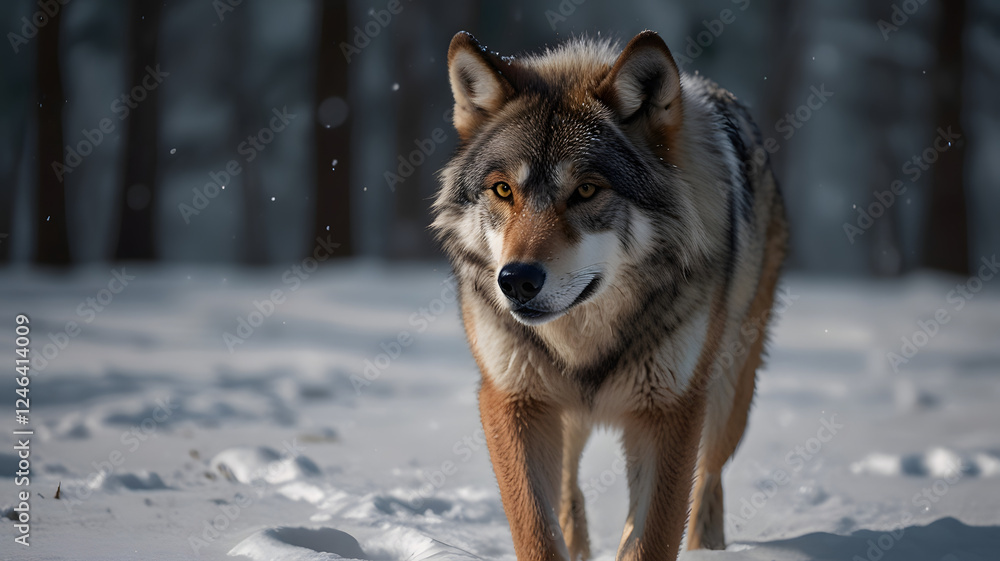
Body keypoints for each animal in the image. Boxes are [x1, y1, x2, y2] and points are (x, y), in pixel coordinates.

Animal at [432, 30, 787, 560]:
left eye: (585, 190)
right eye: (503, 190)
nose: (516, 280)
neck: (584, 341)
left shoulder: (670, 409)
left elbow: (652, 537)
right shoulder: (512, 398)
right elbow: (536, 531)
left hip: (728, 394)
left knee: (710, 477)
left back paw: (707, 547)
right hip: (562, 409)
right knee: (567, 484)